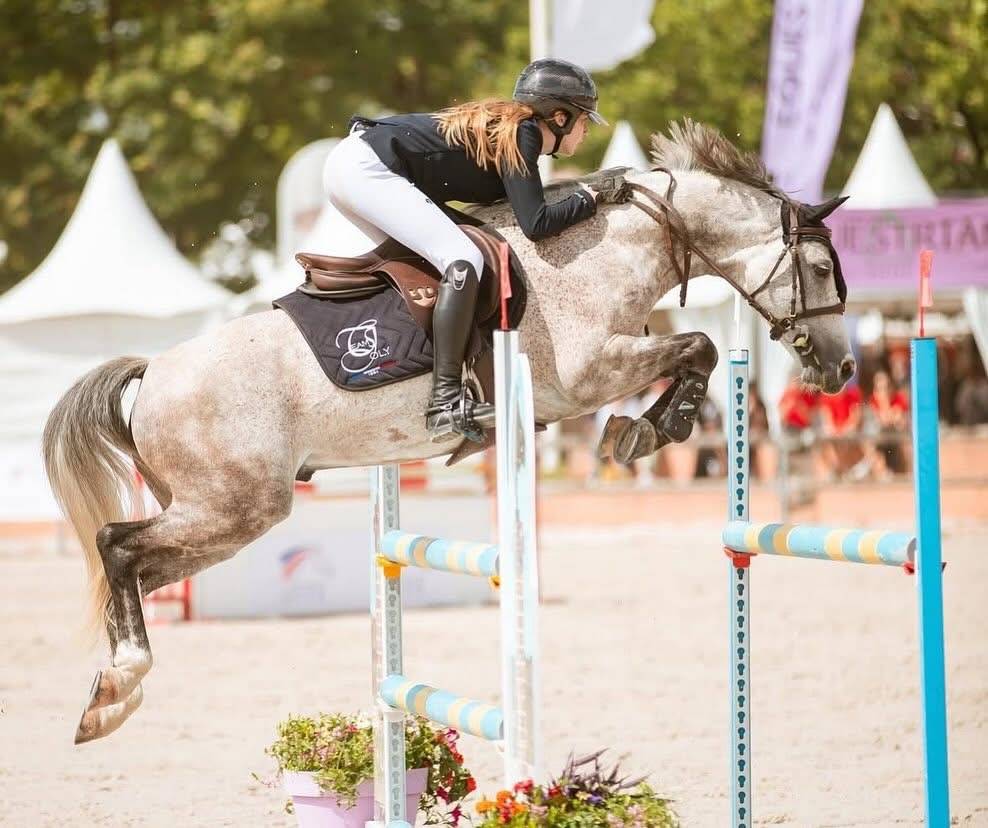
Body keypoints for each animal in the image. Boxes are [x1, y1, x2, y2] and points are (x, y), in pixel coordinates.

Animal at [43, 120, 854, 744]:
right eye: (819, 267)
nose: (843, 367)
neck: (603, 253)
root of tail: (153, 373)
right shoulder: (585, 374)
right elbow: (700, 347)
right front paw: (650, 430)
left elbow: (697, 351)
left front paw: (647, 429)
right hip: (235, 507)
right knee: (118, 547)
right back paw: (117, 689)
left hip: (219, 517)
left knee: (136, 570)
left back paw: (110, 691)